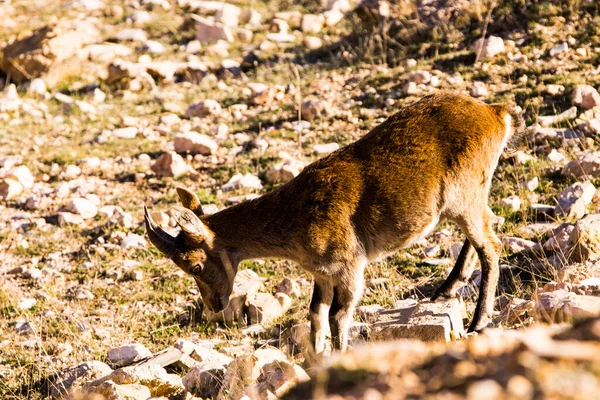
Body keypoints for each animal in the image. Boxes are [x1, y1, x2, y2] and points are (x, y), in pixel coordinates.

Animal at [144, 90, 520, 354]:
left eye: (194, 265)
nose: (214, 307)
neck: (294, 219)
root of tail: (496, 114)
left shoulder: (349, 265)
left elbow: (339, 315)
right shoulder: (321, 273)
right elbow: (316, 313)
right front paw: (317, 356)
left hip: (465, 194)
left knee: (490, 245)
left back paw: (477, 321)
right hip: (469, 198)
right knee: (481, 235)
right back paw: (446, 289)